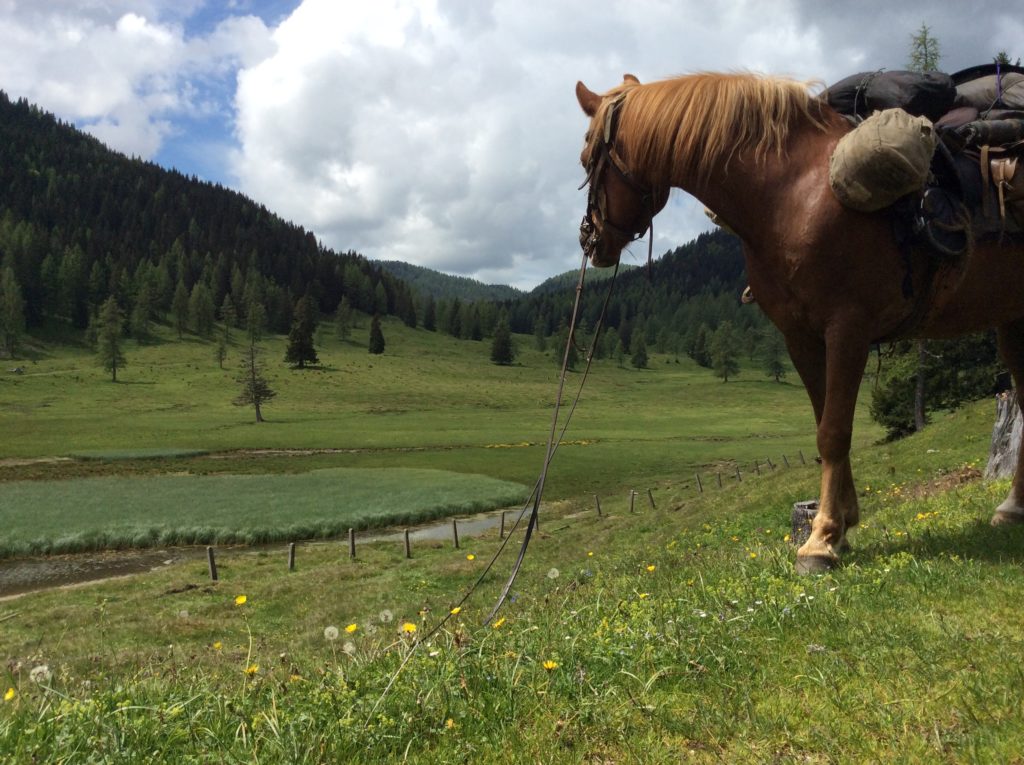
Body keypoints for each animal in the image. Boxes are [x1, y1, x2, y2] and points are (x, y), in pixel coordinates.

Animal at [573, 73, 1024, 573]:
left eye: (587, 159)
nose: (590, 239)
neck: (792, 193)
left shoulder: (847, 329)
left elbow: (834, 431)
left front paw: (821, 539)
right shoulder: (801, 338)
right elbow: (823, 421)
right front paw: (842, 523)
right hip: (1012, 322)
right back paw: (1012, 508)